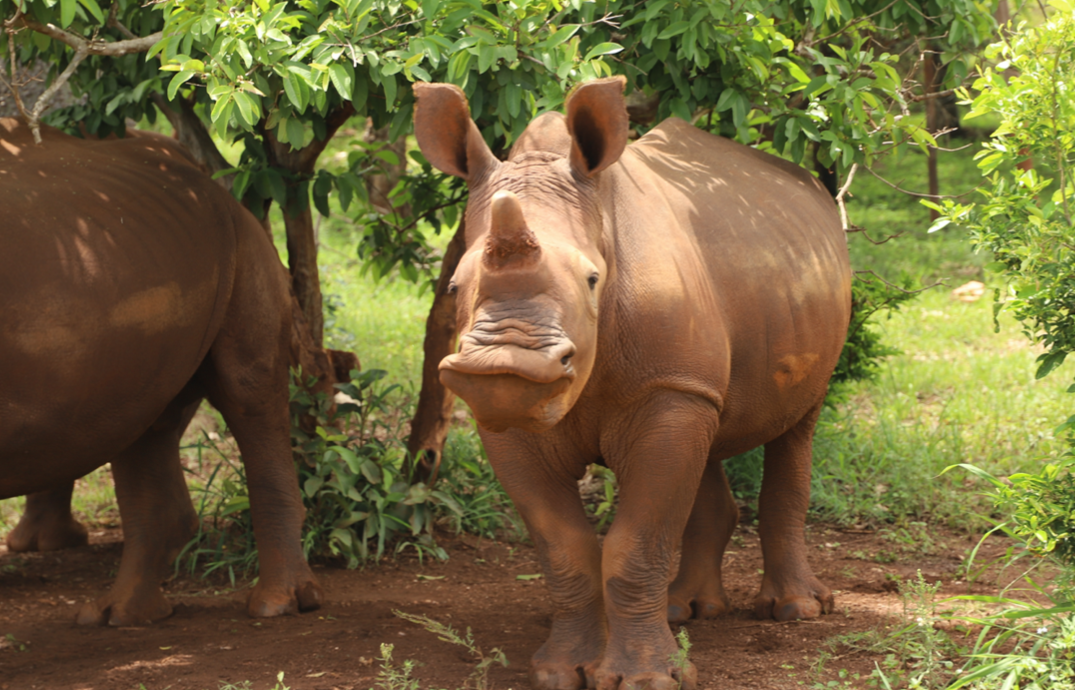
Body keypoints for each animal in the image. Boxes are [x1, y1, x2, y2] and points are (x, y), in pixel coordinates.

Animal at [0, 118, 323, 626]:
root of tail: (212, 182)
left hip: (241, 240)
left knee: (249, 396)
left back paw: (275, 606)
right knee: (140, 413)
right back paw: (123, 616)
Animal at [412, 78, 851, 690]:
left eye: (593, 279)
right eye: (453, 286)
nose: (505, 368)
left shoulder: (666, 389)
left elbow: (635, 543)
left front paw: (646, 680)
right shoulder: (510, 420)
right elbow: (564, 548)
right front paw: (560, 672)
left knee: (798, 425)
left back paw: (795, 610)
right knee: (710, 428)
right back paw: (686, 610)